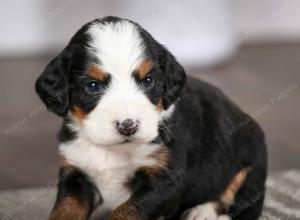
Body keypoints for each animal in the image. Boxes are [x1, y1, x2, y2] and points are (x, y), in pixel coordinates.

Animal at [35, 16, 268, 220]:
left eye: (148, 81)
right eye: (92, 86)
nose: (128, 126)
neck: (112, 150)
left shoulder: (163, 181)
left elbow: (125, 213)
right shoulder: (76, 173)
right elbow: (65, 210)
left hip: (251, 164)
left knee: (244, 204)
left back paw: (202, 213)